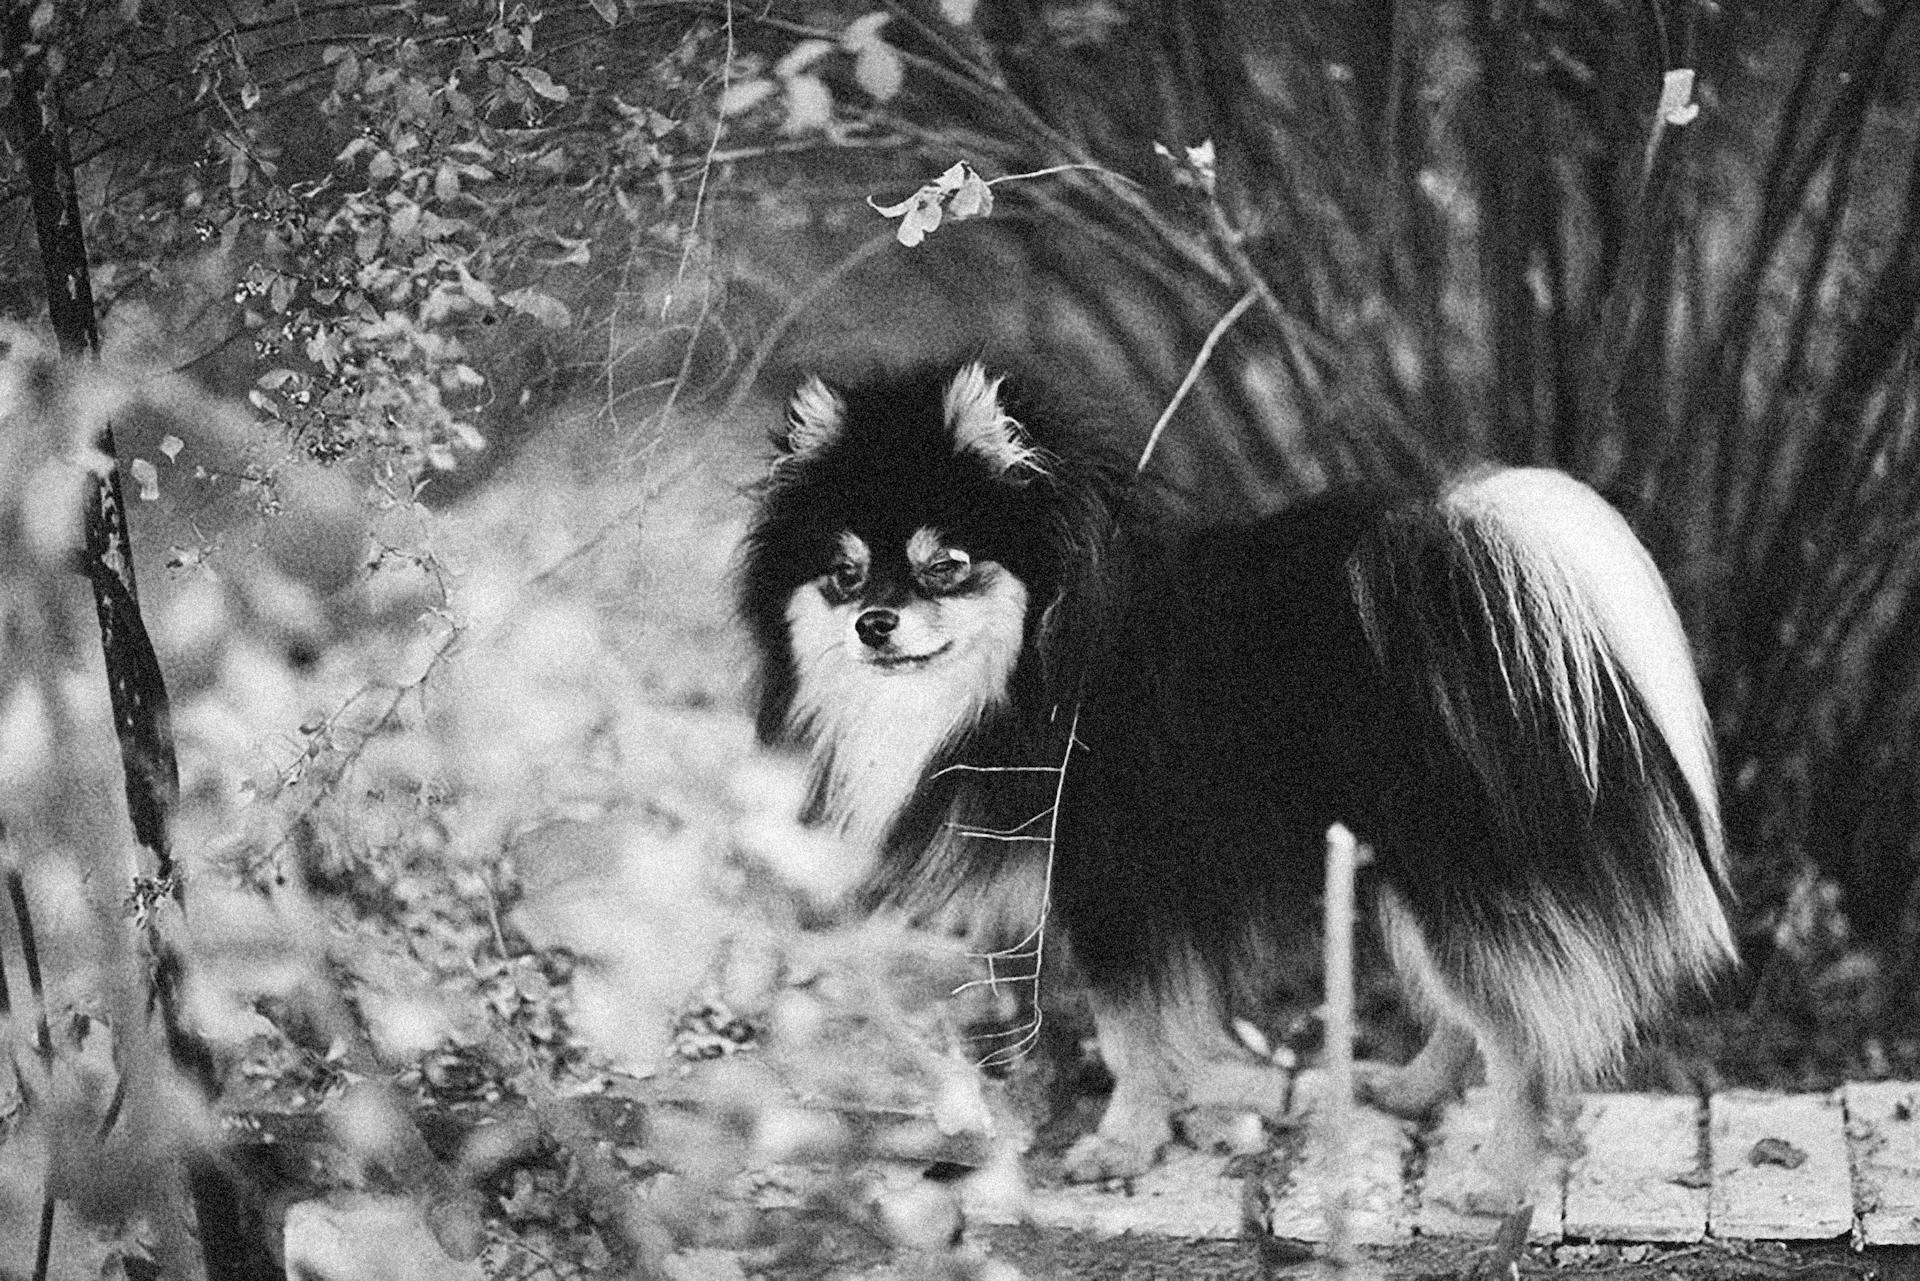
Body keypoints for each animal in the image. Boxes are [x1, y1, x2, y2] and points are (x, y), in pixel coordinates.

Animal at [741, 362, 1735, 1213]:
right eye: (844, 572)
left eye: (945, 564)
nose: (875, 622)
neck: (1037, 671)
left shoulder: (1118, 887)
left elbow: (1131, 1034)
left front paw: (1121, 1142)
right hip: (1396, 874)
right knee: (1471, 1011)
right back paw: (1411, 1090)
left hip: (1453, 870)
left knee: (1522, 1039)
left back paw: (1498, 1182)